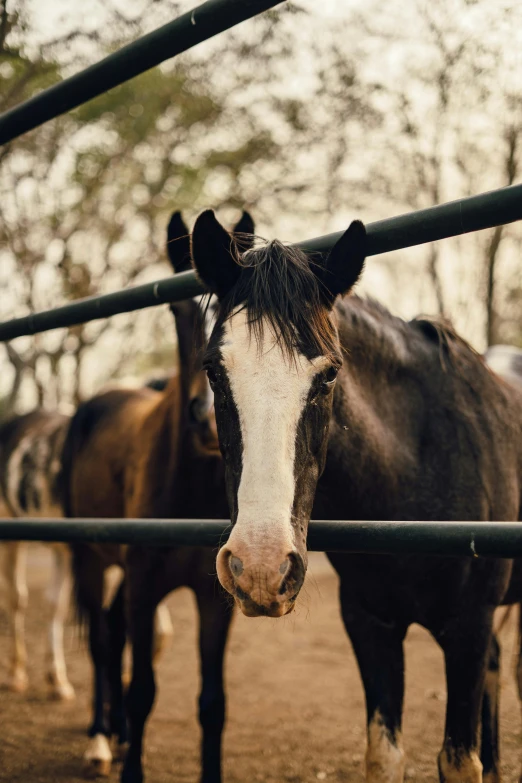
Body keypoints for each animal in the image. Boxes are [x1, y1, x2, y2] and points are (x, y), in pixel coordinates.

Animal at [62, 211, 253, 780]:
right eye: (174, 308)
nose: (205, 416)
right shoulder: (146, 586)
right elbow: (143, 689)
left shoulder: (215, 602)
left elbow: (212, 702)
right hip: (89, 559)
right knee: (102, 639)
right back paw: (101, 738)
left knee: (112, 628)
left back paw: (118, 733)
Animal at [188, 208, 520, 783]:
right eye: (214, 370)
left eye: (328, 375)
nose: (260, 569)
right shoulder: (370, 625)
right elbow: (383, 756)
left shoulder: (469, 629)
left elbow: (459, 760)